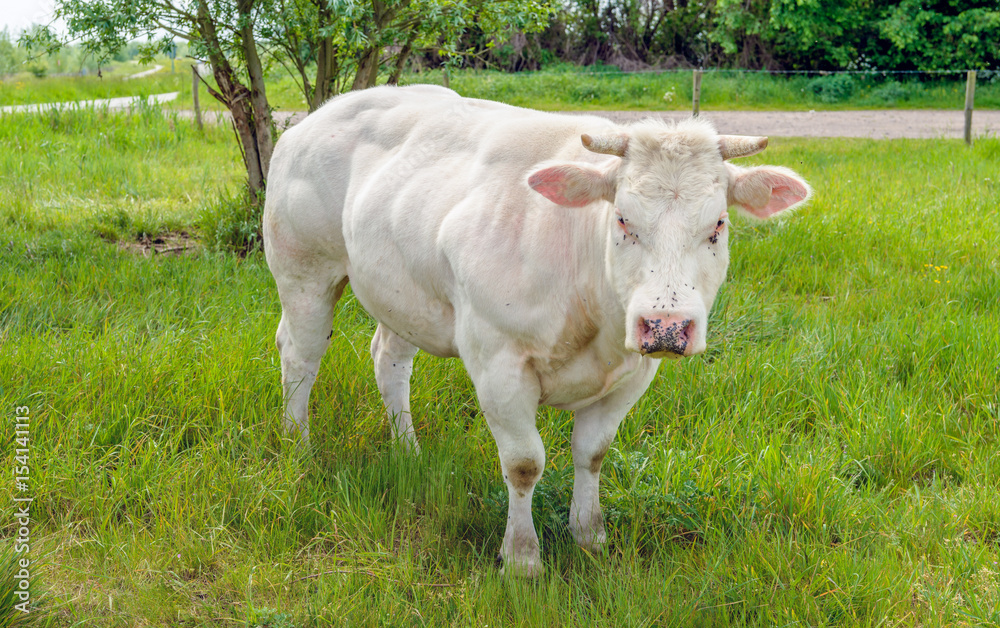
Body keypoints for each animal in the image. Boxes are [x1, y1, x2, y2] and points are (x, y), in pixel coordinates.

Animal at [262, 86, 808, 576]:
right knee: (300, 356)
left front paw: (589, 535)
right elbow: (525, 463)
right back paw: (297, 448)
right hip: (304, 271)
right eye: (623, 220)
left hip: (402, 292)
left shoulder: (635, 371)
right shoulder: (497, 361)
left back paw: (407, 450)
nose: (666, 326)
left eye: (717, 225)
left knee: (388, 360)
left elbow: (592, 453)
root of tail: (322, 113)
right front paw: (522, 560)